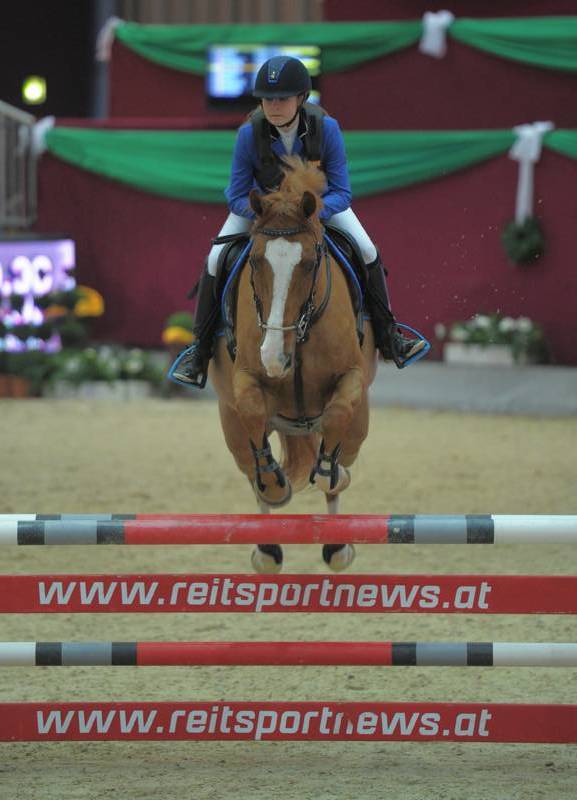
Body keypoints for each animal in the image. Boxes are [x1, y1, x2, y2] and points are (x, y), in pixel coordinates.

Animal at [208, 156, 378, 572]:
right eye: (254, 261)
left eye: (310, 262)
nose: (275, 358)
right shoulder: (244, 380)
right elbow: (253, 409)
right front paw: (274, 483)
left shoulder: (352, 379)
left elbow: (337, 415)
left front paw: (329, 474)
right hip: (230, 425)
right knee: (249, 465)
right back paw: (268, 548)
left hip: (359, 424)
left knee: (342, 453)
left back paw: (338, 542)